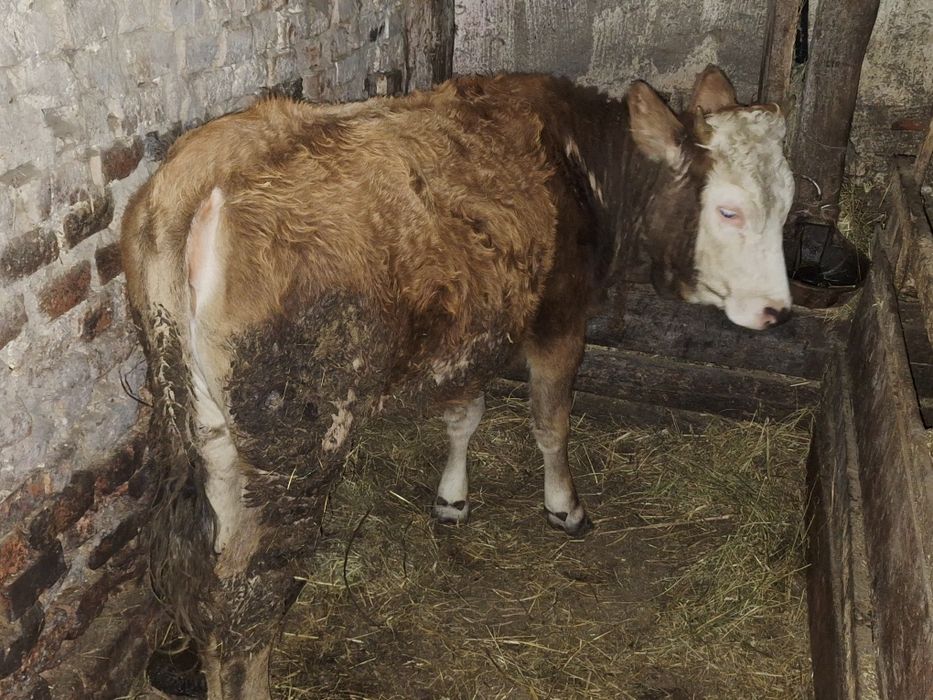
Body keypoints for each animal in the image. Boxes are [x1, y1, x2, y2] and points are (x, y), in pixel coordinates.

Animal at [121, 65, 793, 698]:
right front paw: (564, 507)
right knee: (247, 591)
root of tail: (210, 180)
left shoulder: (475, 325)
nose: (777, 311)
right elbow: (551, 421)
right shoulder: (559, 315)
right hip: (295, 442)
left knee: (205, 570)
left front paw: (452, 499)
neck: (581, 168)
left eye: (786, 207)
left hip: (205, 427)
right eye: (729, 210)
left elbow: (463, 417)